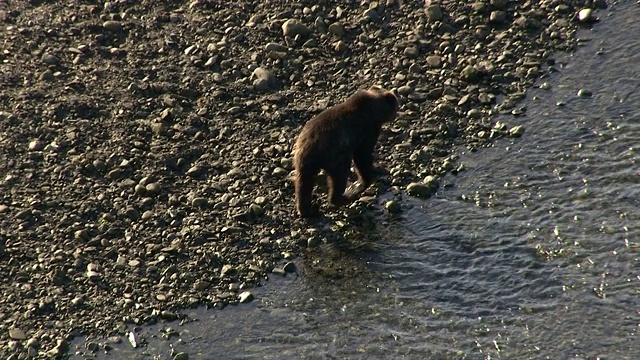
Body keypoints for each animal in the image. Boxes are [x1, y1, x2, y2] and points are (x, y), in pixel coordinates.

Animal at [292, 86, 398, 218]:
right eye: (396, 105)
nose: (396, 114)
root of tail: (311, 146)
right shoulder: (368, 129)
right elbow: (363, 155)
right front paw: (367, 178)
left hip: (303, 160)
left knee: (303, 183)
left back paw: (307, 209)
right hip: (334, 154)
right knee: (339, 177)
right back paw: (344, 197)